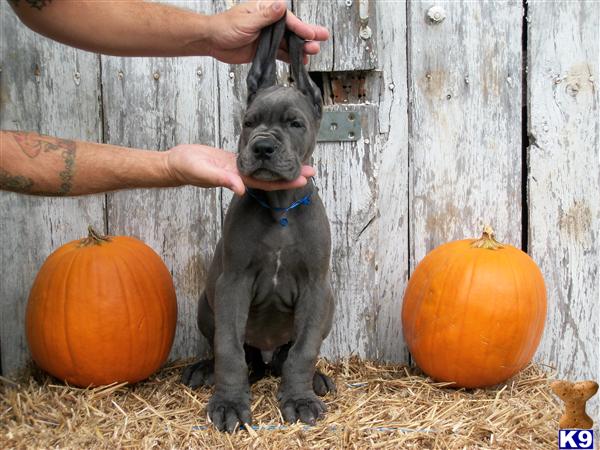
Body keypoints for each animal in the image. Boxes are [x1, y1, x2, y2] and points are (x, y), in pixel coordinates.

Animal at [180, 16, 336, 432]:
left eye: (295, 123)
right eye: (249, 122)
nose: (263, 147)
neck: (280, 208)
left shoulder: (315, 287)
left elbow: (303, 350)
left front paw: (300, 398)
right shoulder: (232, 282)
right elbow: (229, 349)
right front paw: (229, 404)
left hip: (328, 303)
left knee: (285, 355)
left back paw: (314, 378)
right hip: (206, 304)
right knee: (238, 354)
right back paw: (204, 369)